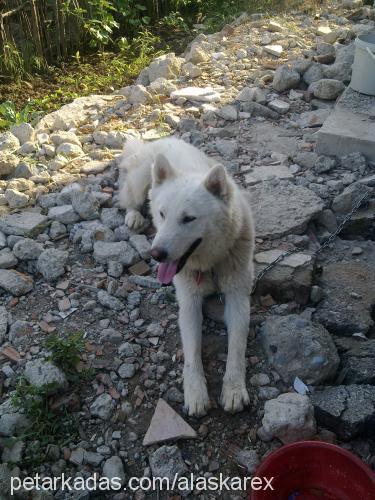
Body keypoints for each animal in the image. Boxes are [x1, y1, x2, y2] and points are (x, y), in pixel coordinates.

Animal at [120, 138, 256, 418]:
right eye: (162, 214)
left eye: (189, 218)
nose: (156, 254)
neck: (211, 264)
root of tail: (160, 139)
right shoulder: (189, 302)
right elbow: (192, 353)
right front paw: (196, 394)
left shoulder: (238, 297)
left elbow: (237, 347)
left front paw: (234, 390)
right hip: (139, 183)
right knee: (129, 199)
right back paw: (134, 216)